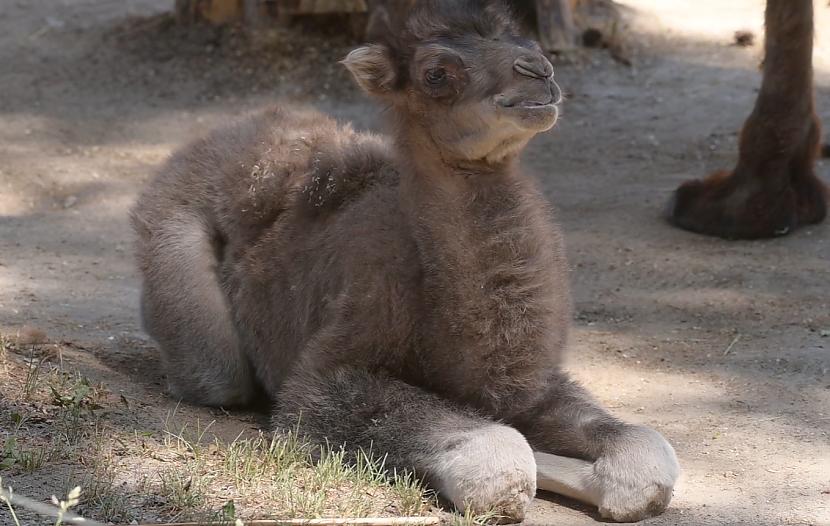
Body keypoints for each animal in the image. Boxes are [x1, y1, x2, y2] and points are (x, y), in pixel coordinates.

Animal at [128, 1, 676, 524]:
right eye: (436, 73)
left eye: (530, 42)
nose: (539, 73)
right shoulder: (327, 373)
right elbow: (499, 454)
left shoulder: (528, 385)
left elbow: (648, 452)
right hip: (172, 239)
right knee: (218, 372)